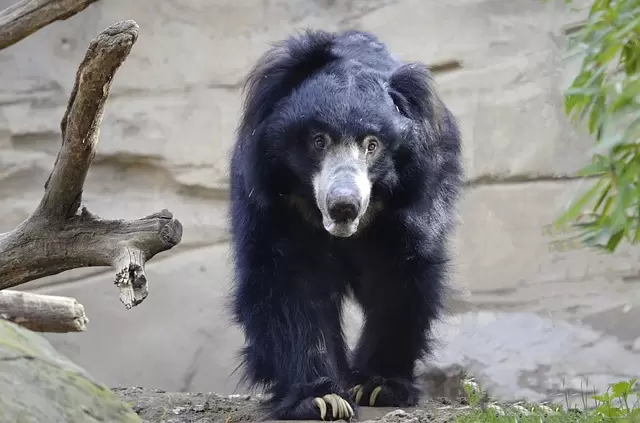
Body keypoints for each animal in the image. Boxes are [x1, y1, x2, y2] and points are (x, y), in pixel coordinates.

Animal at [227, 28, 463, 421]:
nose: (344, 207)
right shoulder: (275, 200)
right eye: (318, 140)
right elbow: (289, 283)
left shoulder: (409, 203)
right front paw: (321, 398)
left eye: (373, 145)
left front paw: (379, 385)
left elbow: (398, 278)